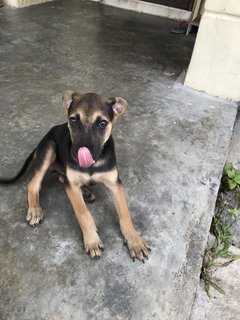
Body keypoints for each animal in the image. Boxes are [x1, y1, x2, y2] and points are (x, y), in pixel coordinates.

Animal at [0, 91, 150, 262]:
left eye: (102, 123)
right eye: (73, 120)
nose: (80, 153)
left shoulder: (114, 184)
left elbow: (125, 213)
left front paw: (134, 240)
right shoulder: (71, 186)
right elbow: (83, 213)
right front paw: (92, 240)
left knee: (61, 178)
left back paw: (86, 191)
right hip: (50, 147)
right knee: (34, 184)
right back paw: (35, 209)